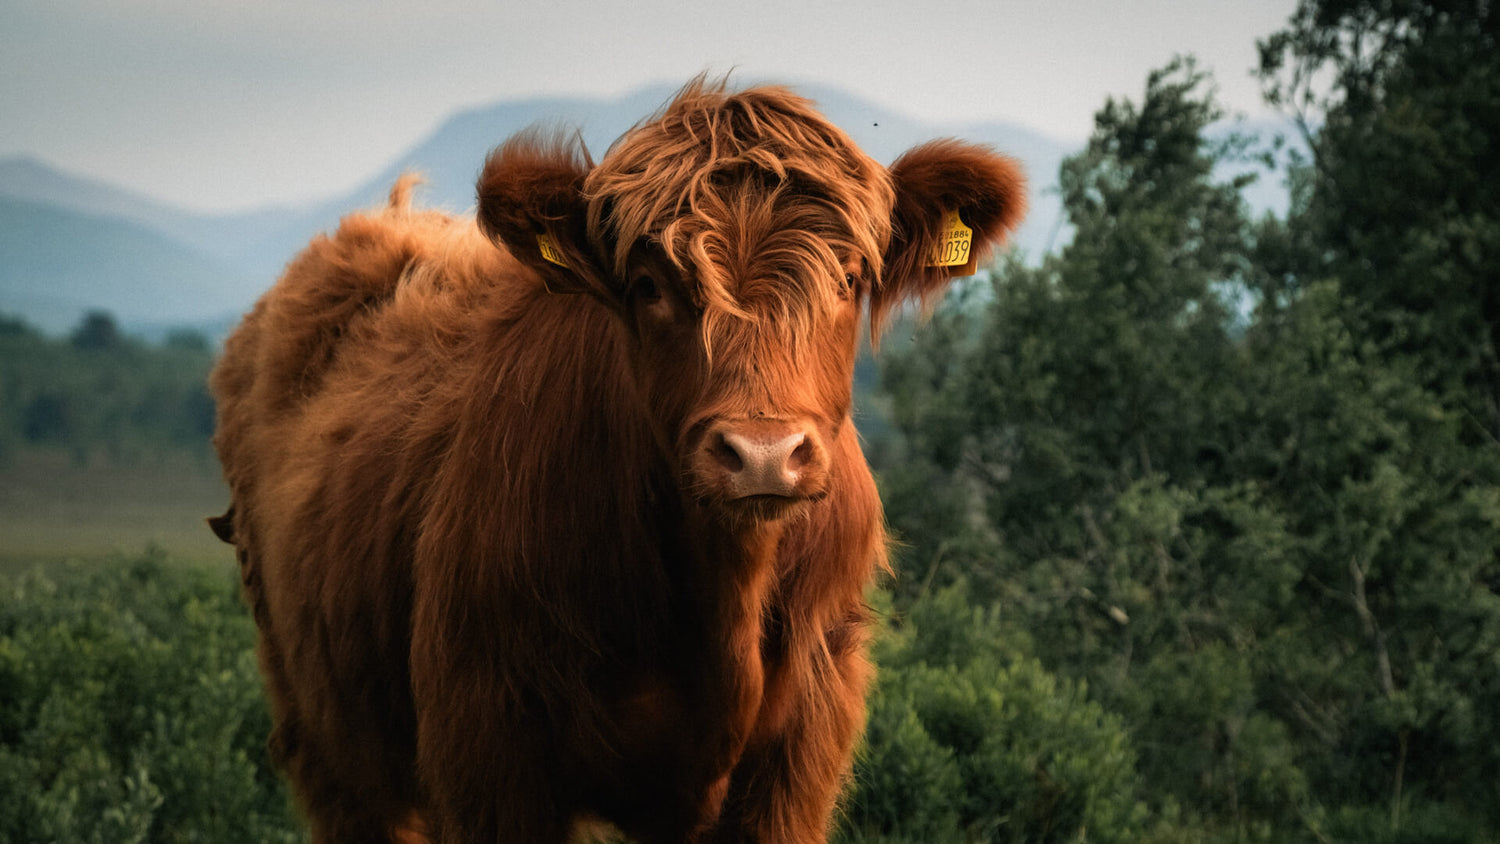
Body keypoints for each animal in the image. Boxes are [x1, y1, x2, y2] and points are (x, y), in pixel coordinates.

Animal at [211, 80, 1026, 844]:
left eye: (849, 279)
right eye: (649, 285)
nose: (762, 455)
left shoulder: (797, 760)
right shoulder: (487, 747)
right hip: (327, 736)